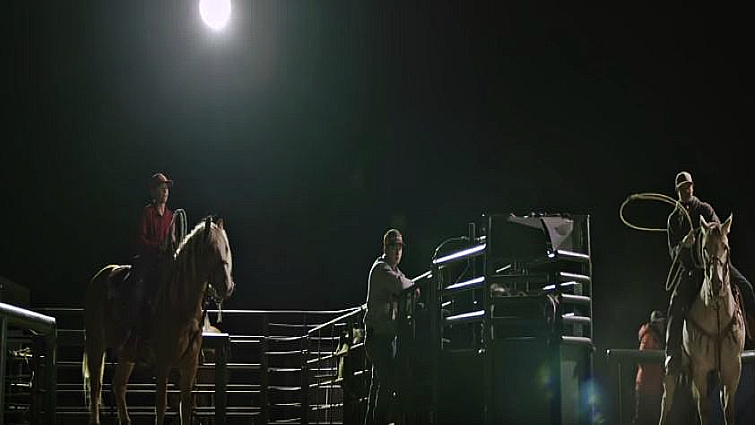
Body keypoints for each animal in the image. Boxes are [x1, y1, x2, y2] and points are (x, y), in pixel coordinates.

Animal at [82, 217, 233, 422]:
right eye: (210, 249)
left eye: (226, 248)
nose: (227, 286)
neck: (178, 303)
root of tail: (99, 278)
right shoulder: (163, 364)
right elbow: (161, 406)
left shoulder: (190, 366)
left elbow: (186, 407)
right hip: (96, 345)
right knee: (96, 388)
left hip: (127, 354)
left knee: (118, 385)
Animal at [660, 215, 748, 424]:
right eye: (705, 247)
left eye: (725, 246)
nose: (716, 284)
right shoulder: (700, 368)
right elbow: (704, 408)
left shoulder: (732, 367)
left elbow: (728, 409)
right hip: (678, 368)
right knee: (667, 399)